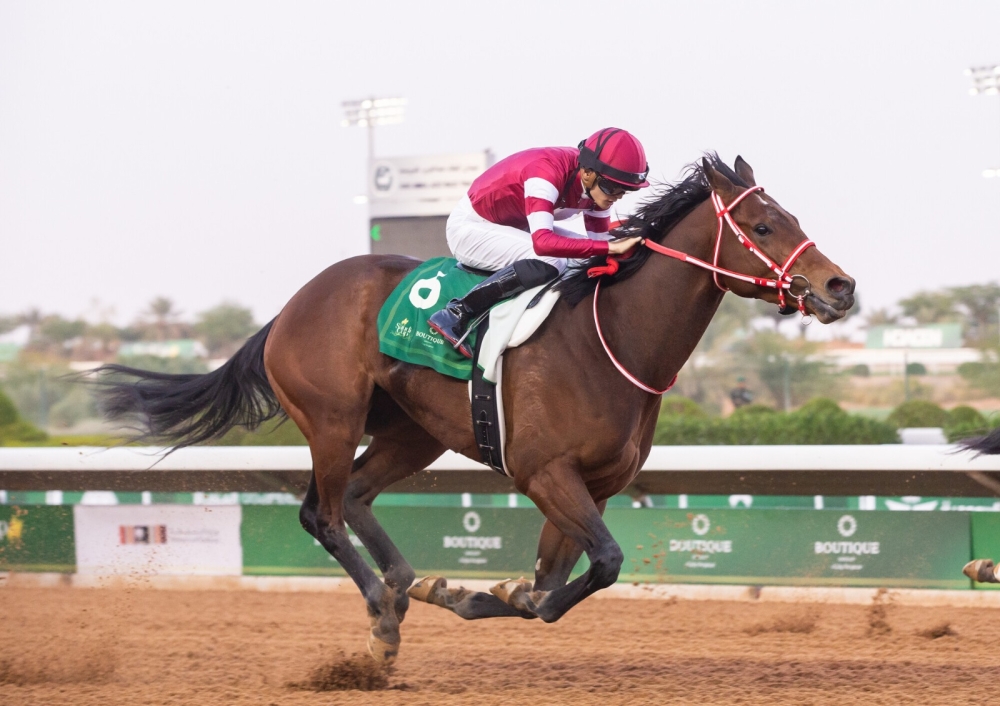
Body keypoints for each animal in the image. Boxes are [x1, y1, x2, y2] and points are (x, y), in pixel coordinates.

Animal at [94, 153, 856, 660]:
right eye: (762, 224)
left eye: (793, 217)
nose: (840, 287)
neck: (614, 339)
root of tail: (288, 310)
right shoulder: (544, 472)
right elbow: (600, 564)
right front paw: (493, 594)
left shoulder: (592, 485)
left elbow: (557, 583)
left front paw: (480, 593)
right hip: (333, 420)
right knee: (323, 513)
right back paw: (382, 616)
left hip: (412, 432)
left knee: (360, 499)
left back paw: (409, 585)